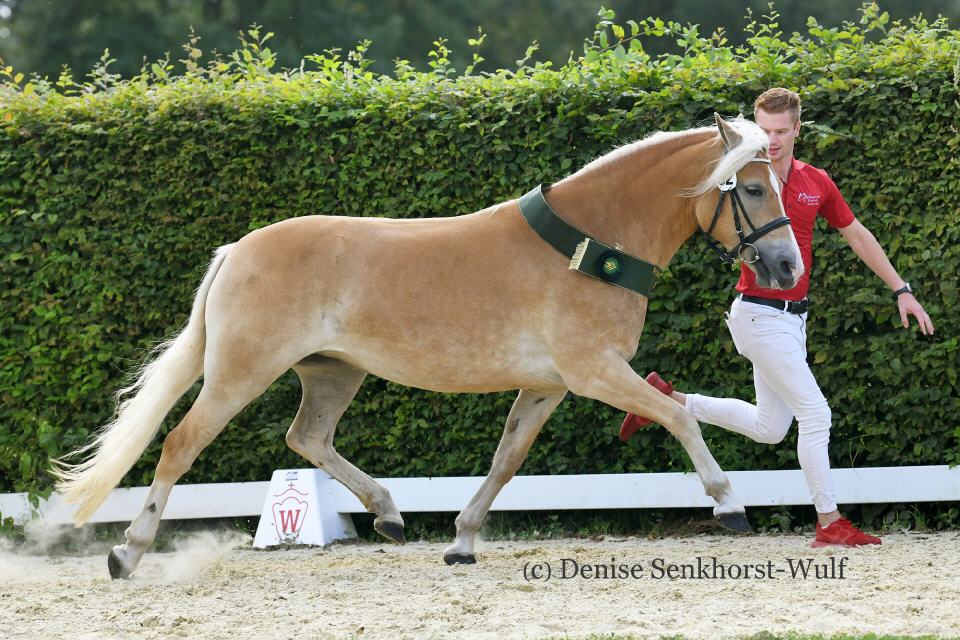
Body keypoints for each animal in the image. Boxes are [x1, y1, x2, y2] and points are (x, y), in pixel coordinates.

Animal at [52, 112, 804, 576]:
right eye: (753, 187)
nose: (786, 266)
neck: (587, 246)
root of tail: (238, 250)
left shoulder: (547, 385)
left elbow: (506, 460)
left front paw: (462, 540)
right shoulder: (595, 371)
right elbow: (678, 417)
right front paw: (730, 506)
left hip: (332, 373)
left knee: (307, 438)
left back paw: (388, 514)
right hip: (241, 371)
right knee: (181, 445)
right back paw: (129, 553)